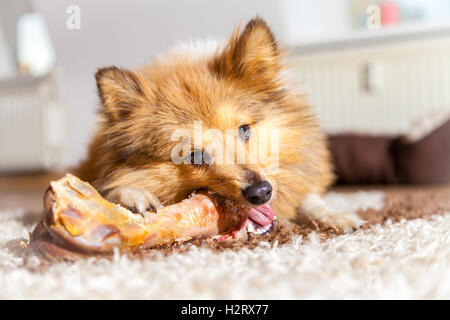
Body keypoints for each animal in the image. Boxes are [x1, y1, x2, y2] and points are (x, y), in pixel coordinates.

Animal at [77, 16, 364, 232]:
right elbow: (108, 186)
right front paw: (134, 194)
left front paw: (337, 216)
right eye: (193, 156)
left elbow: (308, 197)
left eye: (244, 130)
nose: (261, 192)